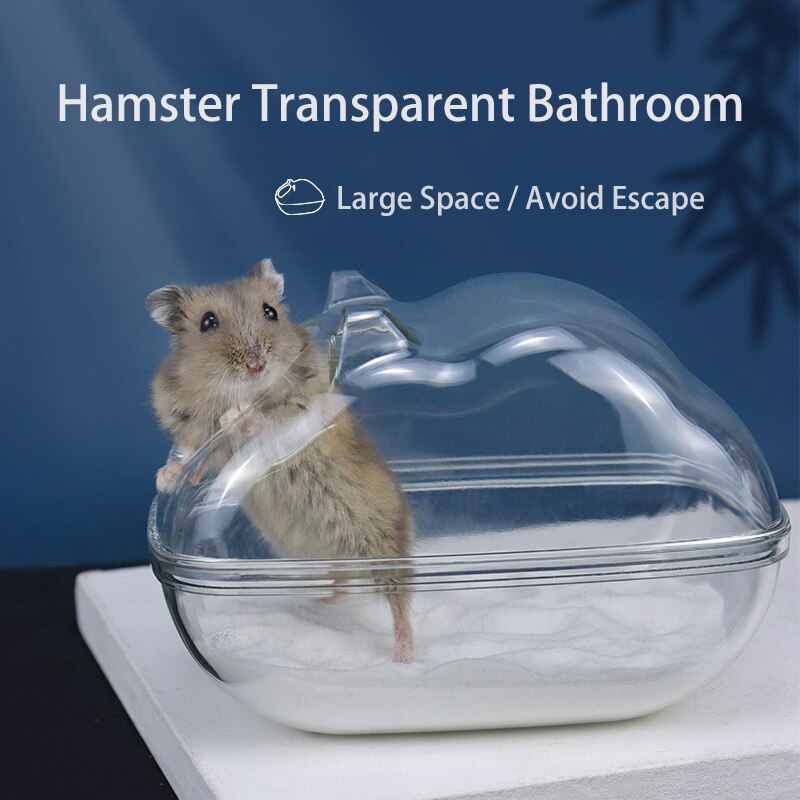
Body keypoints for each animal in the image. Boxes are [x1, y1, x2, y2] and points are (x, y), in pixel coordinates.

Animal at [147, 259, 414, 662]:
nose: (257, 363)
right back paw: (318, 602)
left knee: (398, 602)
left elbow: (266, 418)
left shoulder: (304, 405)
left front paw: (236, 415)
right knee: (343, 580)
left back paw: (403, 659)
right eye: (207, 322)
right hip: (339, 555)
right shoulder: (197, 432)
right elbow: (193, 457)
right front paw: (165, 478)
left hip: (381, 543)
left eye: (270, 312)